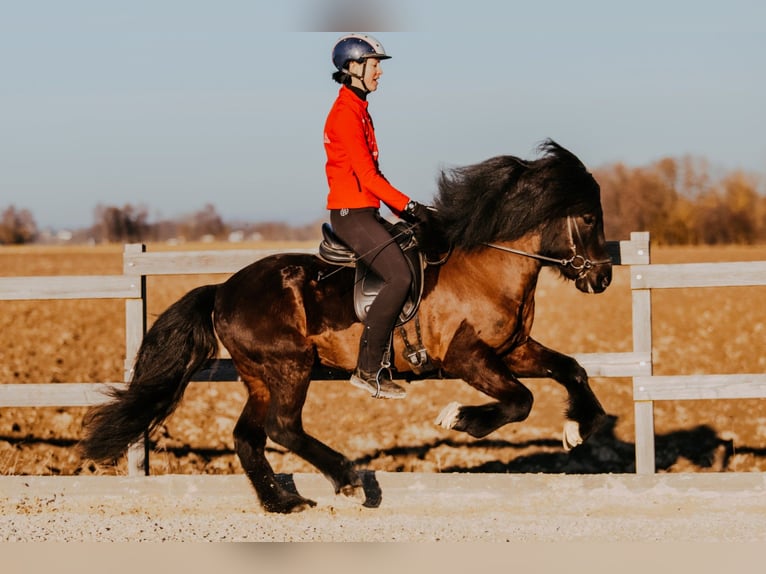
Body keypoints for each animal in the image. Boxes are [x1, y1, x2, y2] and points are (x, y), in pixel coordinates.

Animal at [80, 139, 613, 514]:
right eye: (588, 217)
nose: (603, 278)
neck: (488, 267)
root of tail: (224, 290)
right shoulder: (467, 356)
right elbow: (521, 401)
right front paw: (460, 418)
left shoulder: (513, 349)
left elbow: (571, 369)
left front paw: (576, 428)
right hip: (290, 367)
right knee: (282, 427)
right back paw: (348, 480)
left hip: (261, 376)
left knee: (248, 437)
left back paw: (284, 503)